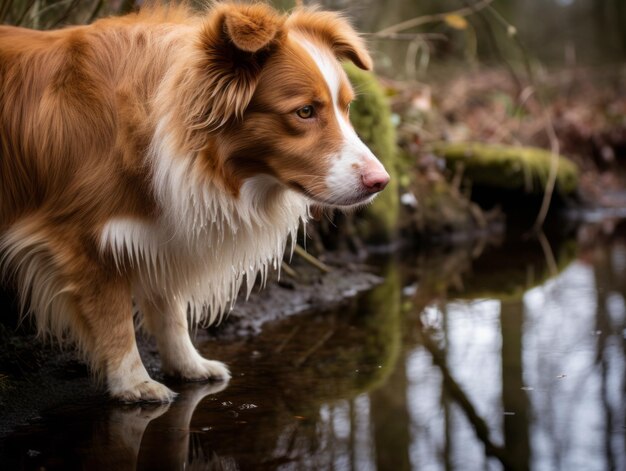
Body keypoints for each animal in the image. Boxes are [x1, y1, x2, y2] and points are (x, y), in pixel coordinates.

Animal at [0, 1, 388, 404]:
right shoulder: (79, 238)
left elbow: (169, 308)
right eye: (305, 111)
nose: (381, 182)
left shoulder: (160, 231)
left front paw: (188, 365)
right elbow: (113, 316)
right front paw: (134, 383)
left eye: (346, 108)